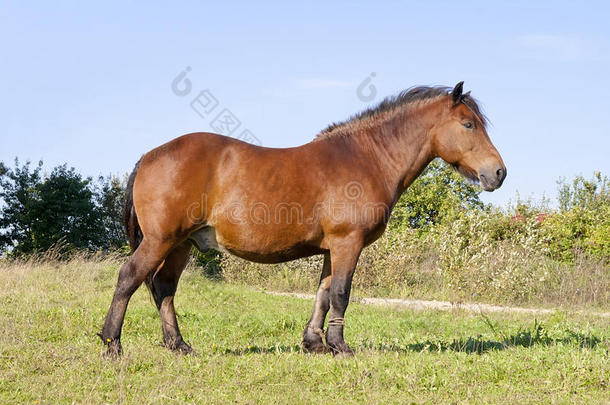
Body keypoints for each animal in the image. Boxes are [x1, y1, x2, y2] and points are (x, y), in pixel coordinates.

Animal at [100, 81, 504, 356]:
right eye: (468, 124)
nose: (498, 173)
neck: (366, 158)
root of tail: (150, 155)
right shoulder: (347, 243)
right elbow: (341, 293)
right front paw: (340, 346)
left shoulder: (332, 248)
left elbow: (323, 294)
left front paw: (315, 343)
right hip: (161, 240)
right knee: (129, 279)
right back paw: (112, 344)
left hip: (181, 244)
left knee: (164, 287)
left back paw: (178, 345)